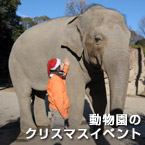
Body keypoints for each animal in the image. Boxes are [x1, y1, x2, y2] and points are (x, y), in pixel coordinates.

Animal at [8, 5, 130, 140]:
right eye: (97, 39)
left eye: (130, 38)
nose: (115, 125)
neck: (79, 18)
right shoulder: (66, 53)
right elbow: (76, 95)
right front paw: (74, 134)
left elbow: (99, 95)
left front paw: (99, 133)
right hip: (15, 65)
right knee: (25, 94)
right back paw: (28, 132)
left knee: (39, 93)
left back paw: (44, 125)